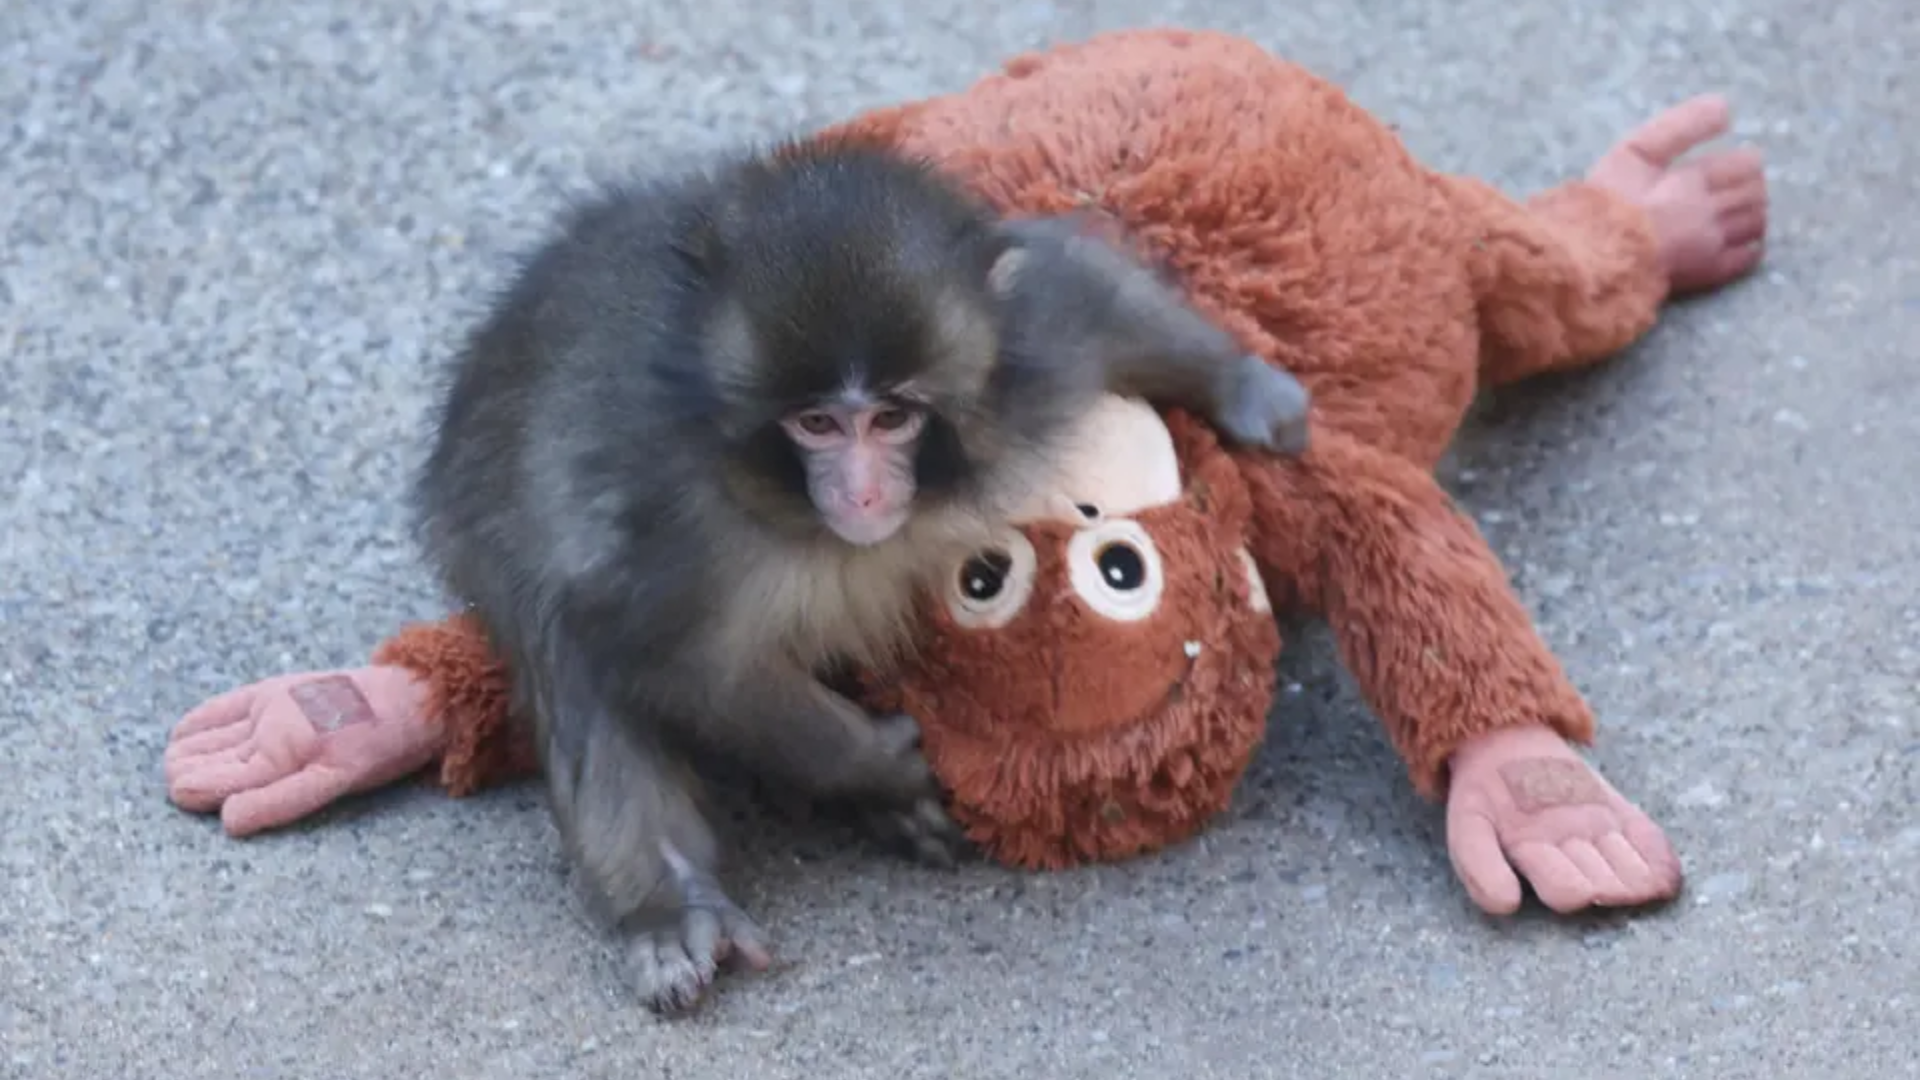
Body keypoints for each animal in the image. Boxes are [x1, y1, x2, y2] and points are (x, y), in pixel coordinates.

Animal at [410, 138, 1312, 1015]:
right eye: (815, 423)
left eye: (891, 417)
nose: (864, 492)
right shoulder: (667, 522)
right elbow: (680, 661)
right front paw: (879, 764)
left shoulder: (1028, 357)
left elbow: (1082, 288)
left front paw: (1246, 387)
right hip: (481, 525)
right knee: (566, 645)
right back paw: (670, 905)